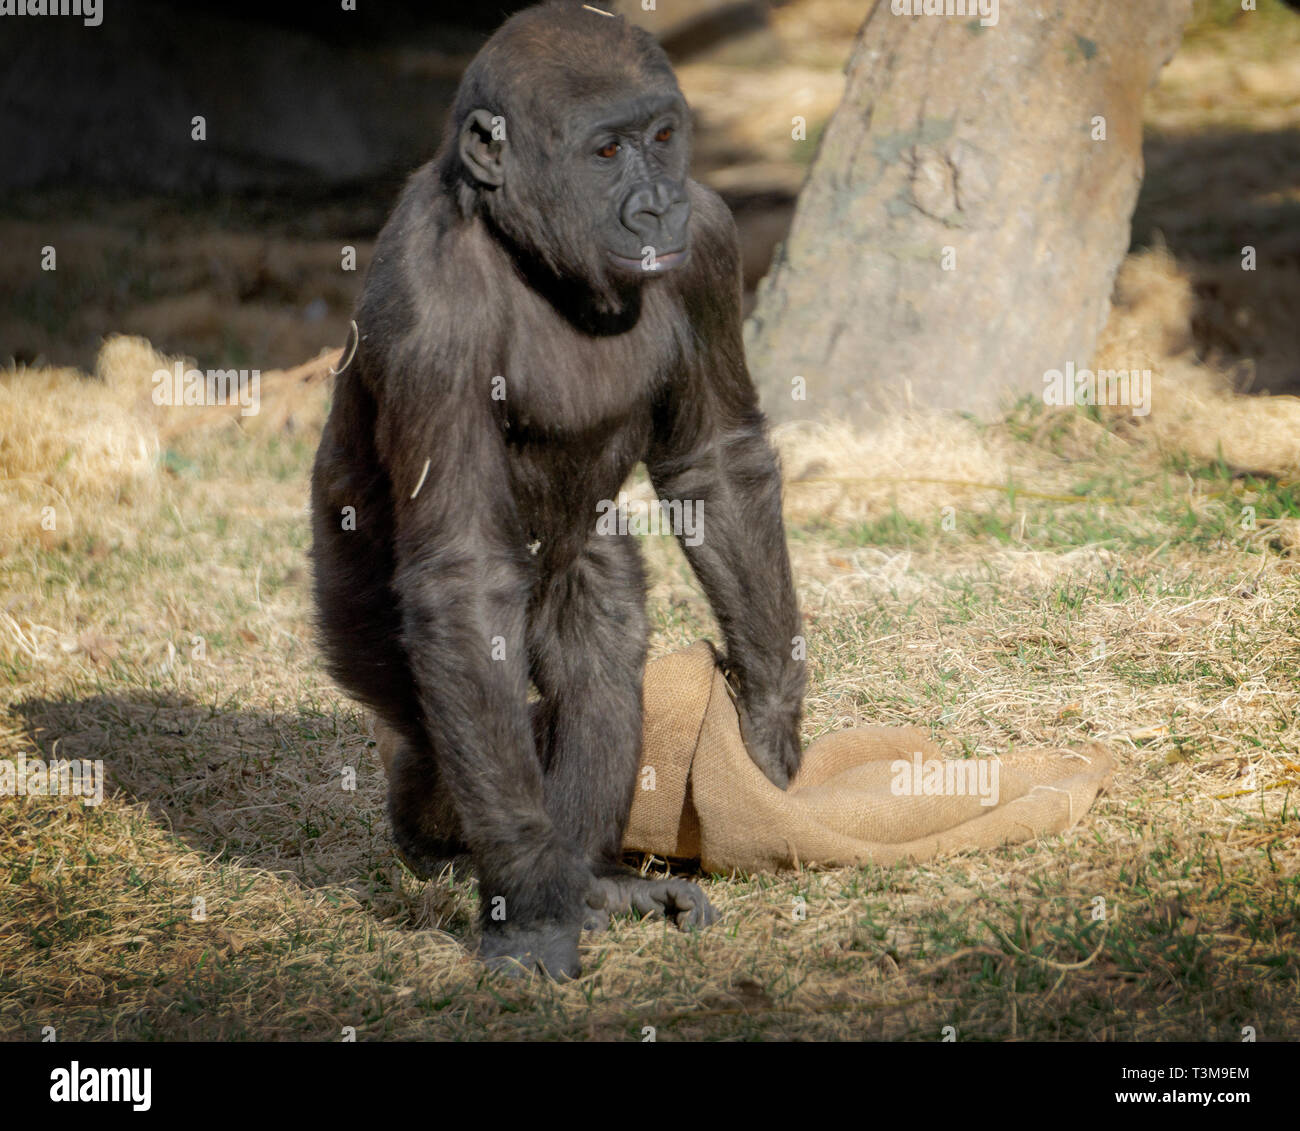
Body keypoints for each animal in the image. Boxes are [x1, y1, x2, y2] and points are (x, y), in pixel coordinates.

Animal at [312, 0, 800, 977]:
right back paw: (457, 833)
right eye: (605, 152)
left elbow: (715, 462)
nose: (657, 203)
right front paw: (533, 908)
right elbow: (463, 574)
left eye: (662, 137)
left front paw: (768, 722)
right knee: (431, 714)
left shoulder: (709, 241)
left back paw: (594, 876)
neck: (528, 248)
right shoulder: (431, 312)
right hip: (348, 601)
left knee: (600, 631)